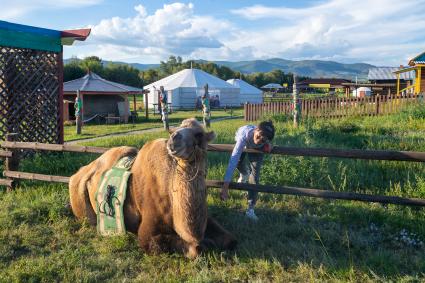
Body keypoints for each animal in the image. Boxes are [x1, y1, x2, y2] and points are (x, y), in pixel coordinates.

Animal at [68, 118, 237, 258]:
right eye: (178, 127)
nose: (173, 139)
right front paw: (205, 244)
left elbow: (230, 239)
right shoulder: (147, 231)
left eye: (198, 134)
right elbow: (194, 249)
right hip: (82, 206)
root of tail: (78, 173)